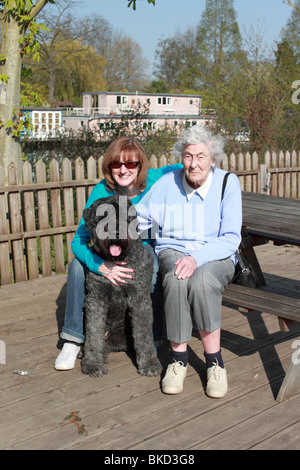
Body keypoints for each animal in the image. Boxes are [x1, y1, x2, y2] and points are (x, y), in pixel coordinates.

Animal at [80, 195, 162, 378]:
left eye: (125, 215)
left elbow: (143, 334)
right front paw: (92, 364)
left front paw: (149, 363)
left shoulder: (140, 298)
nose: (115, 233)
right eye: (103, 215)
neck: (117, 260)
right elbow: (93, 332)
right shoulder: (95, 299)